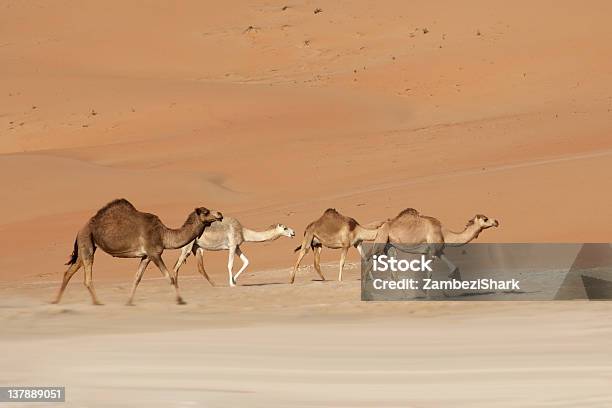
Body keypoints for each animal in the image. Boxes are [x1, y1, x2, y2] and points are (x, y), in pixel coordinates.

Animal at [50, 199, 222, 304]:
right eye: (205, 212)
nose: (220, 214)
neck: (163, 234)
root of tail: (81, 229)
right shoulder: (154, 253)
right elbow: (170, 277)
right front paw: (181, 301)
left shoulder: (146, 256)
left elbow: (137, 278)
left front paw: (129, 302)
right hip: (87, 240)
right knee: (86, 276)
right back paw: (98, 303)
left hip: (86, 245)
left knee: (69, 271)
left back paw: (56, 301)